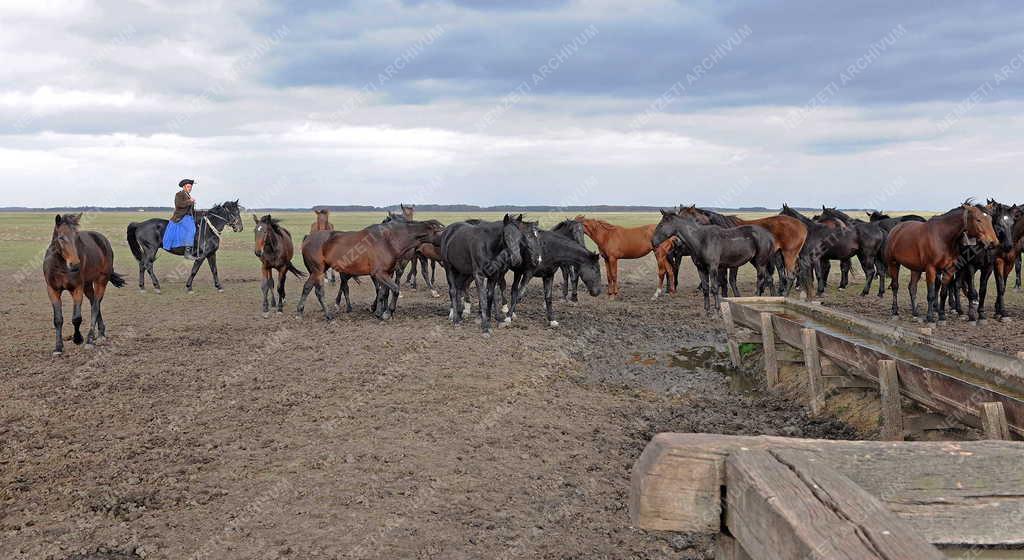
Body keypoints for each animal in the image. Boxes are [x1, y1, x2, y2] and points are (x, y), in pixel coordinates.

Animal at [43, 212, 125, 356]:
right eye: (61, 237)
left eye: (77, 237)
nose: (75, 264)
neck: (60, 266)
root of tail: (104, 241)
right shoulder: (52, 290)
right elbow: (58, 319)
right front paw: (58, 348)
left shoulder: (77, 289)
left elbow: (76, 318)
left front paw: (78, 339)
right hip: (87, 285)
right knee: (94, 303)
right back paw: (101, 333)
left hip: (100, 281)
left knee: (95, 306)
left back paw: (90, 339)